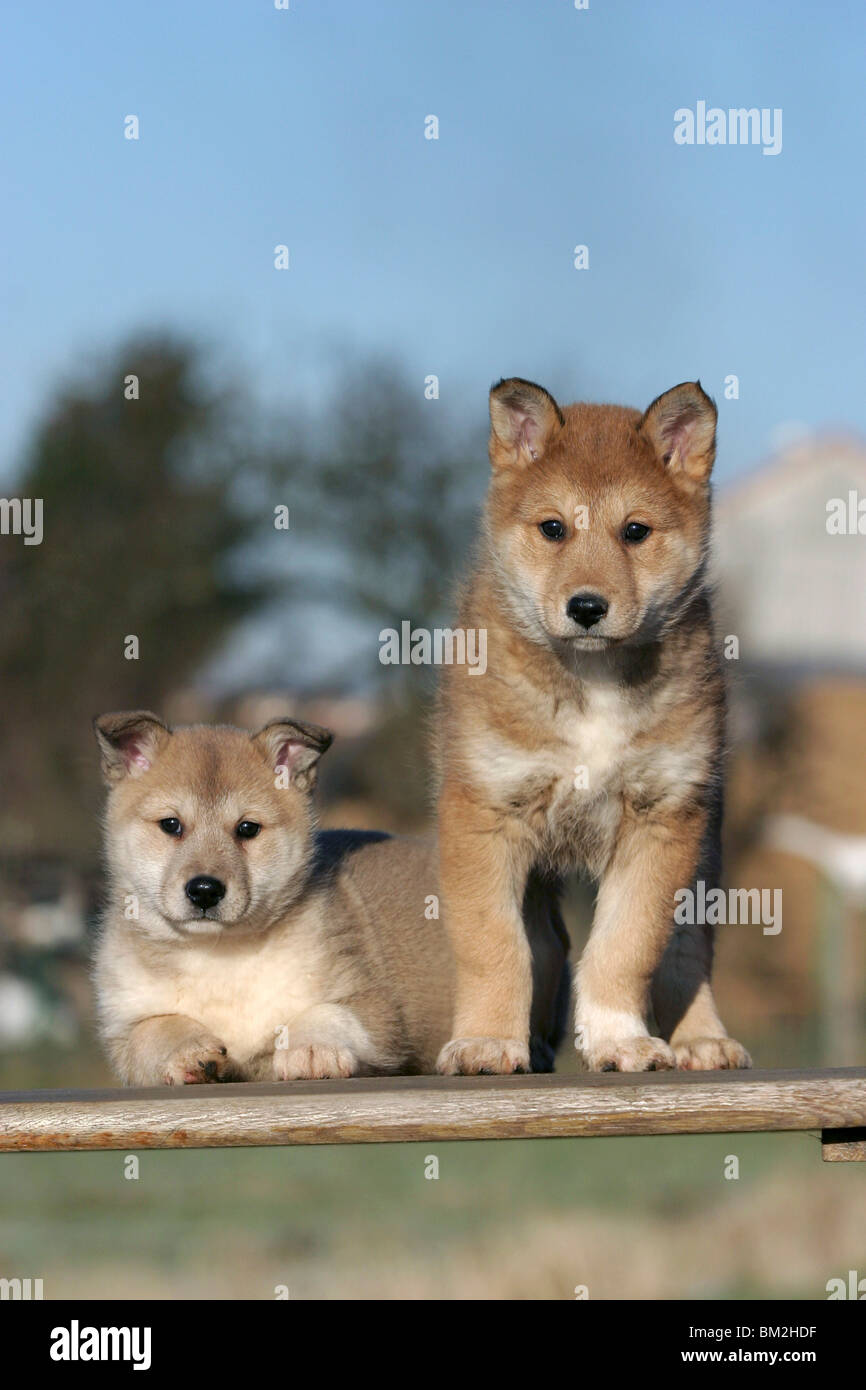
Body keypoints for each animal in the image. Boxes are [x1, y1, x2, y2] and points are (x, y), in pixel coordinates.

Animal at [93, 717, 569, 1084]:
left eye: (247, 829)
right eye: (171, 825)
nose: (205, 890)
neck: (220, 955)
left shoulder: (374, 1010)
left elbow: (324, 1014)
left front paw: (309, 1050)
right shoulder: (123, 1028)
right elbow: (153, 1030)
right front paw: (189, 1051)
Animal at [439, 378, 750, 1073]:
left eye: (635, 531)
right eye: (553, 528)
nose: (586, 607)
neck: (593, 682)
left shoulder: (663, 820)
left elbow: (627, 948)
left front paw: (618, 1040)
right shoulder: (486, 814)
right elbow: (494, 947)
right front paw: (488, 1041)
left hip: (704, 855)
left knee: (688, 954)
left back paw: (703, 1039)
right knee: (546, 945)